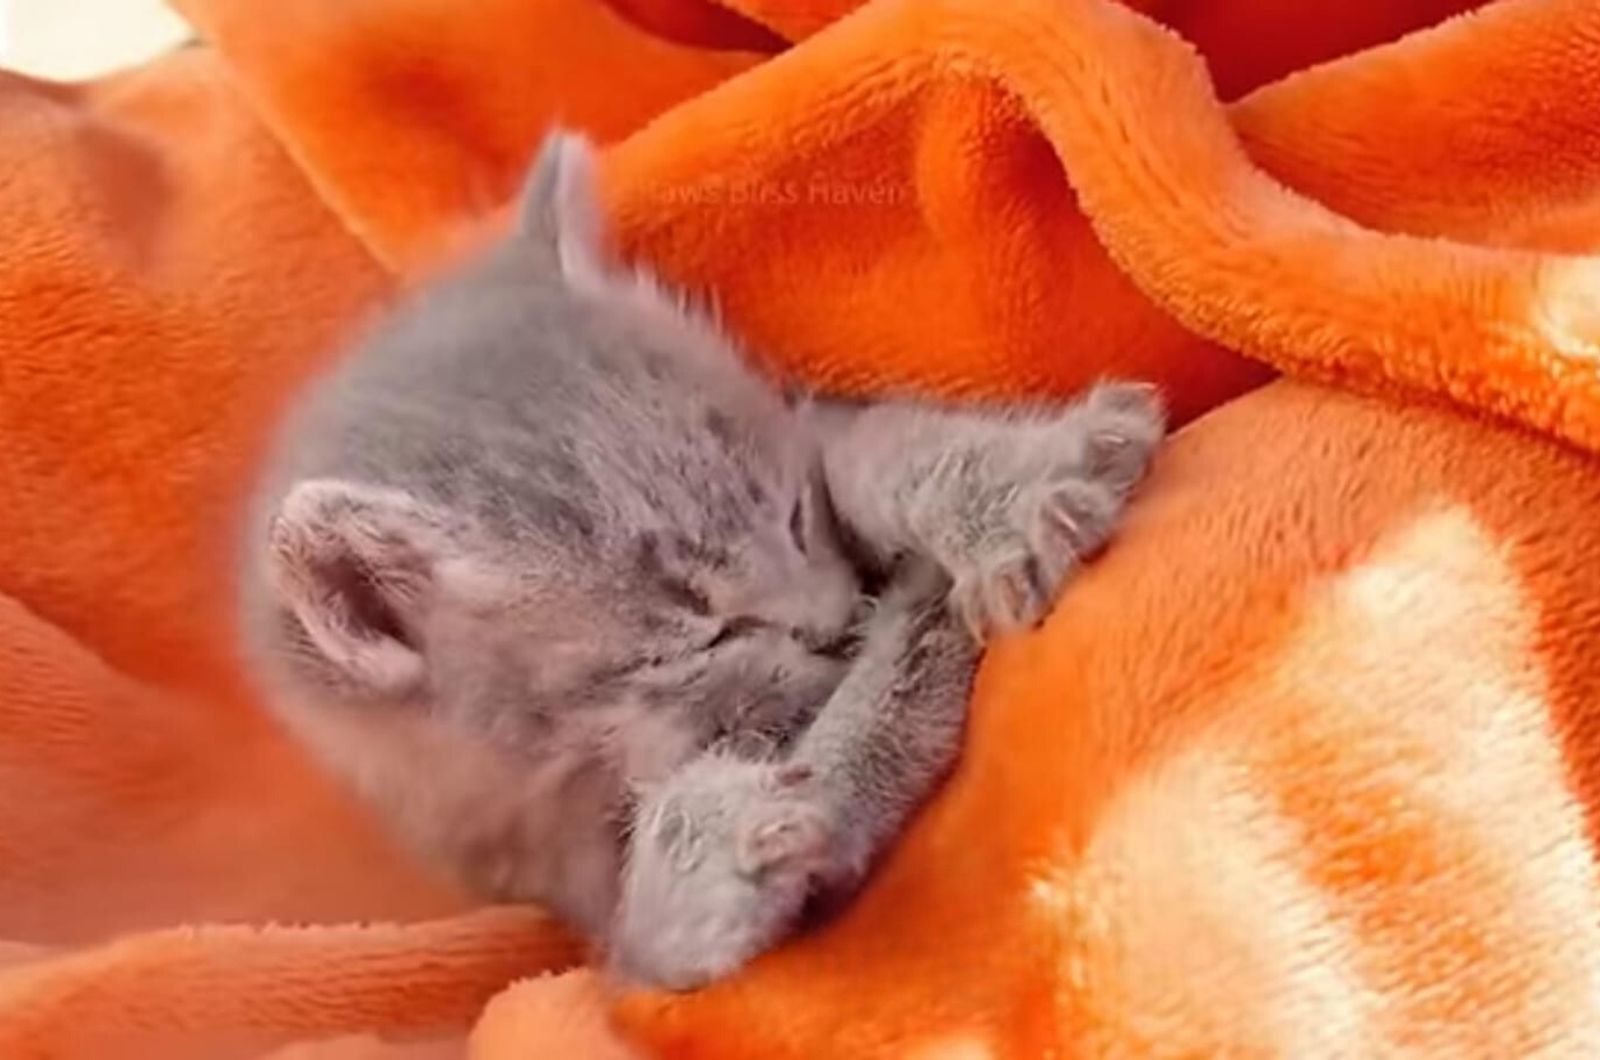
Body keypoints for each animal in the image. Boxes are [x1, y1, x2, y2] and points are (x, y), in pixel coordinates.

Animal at [236, 128, 1164, 992]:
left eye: (795, 517)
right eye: (702, 639)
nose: (836, 626)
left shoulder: (815, 428)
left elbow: (879, 443)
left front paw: (1009, 488)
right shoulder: (558, 885)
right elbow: (650, 939)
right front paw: (725, 843)